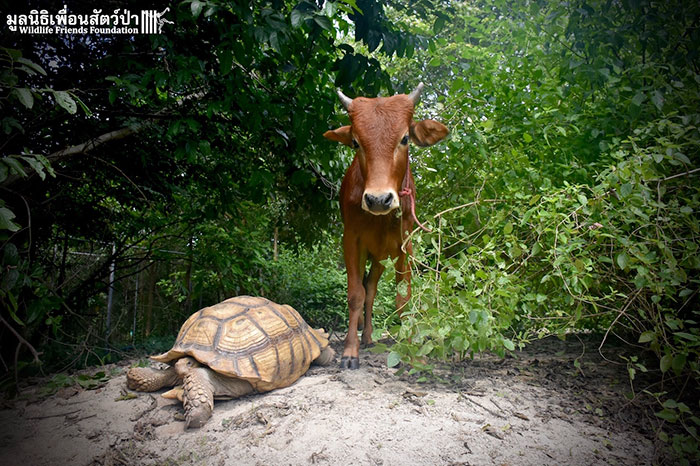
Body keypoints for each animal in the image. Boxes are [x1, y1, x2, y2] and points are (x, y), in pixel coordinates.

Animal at [323, 83, 449, 369]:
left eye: (404, 139)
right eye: (356, 142)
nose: (378, 199)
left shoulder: (406, 244)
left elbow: (403, 298)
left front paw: (410, 349)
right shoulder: (351, 240)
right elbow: (355, 295)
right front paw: (350, 351)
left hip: (382, 258)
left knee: (372, 288)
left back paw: (370, 337)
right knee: (367, 291)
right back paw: (365, 337)